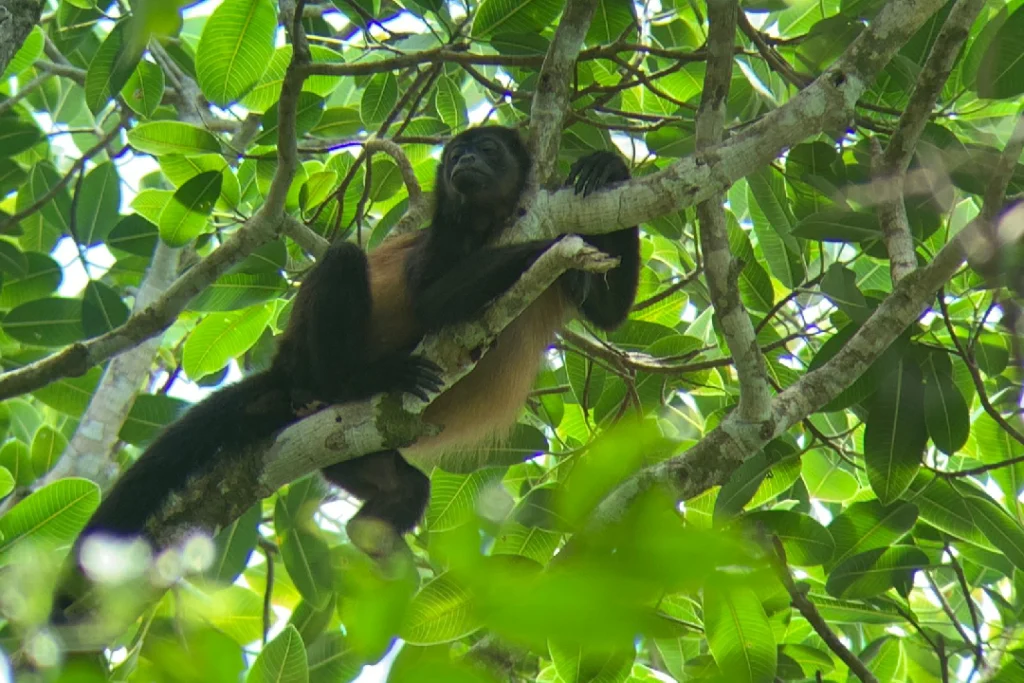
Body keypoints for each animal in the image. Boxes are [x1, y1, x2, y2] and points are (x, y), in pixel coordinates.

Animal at [58, 126, 638, 614]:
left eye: (487, 149)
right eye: (456, 153)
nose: (463, 160)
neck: (490, 223)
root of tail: (286, 369)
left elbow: (610, 313)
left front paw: (607, 165)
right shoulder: (445, 235)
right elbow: (431, 301)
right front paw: (548, 246)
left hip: (354, 449)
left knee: (406, 488)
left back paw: (370, 532)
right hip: (311, 359)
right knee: (341, 259)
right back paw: (367, 378)